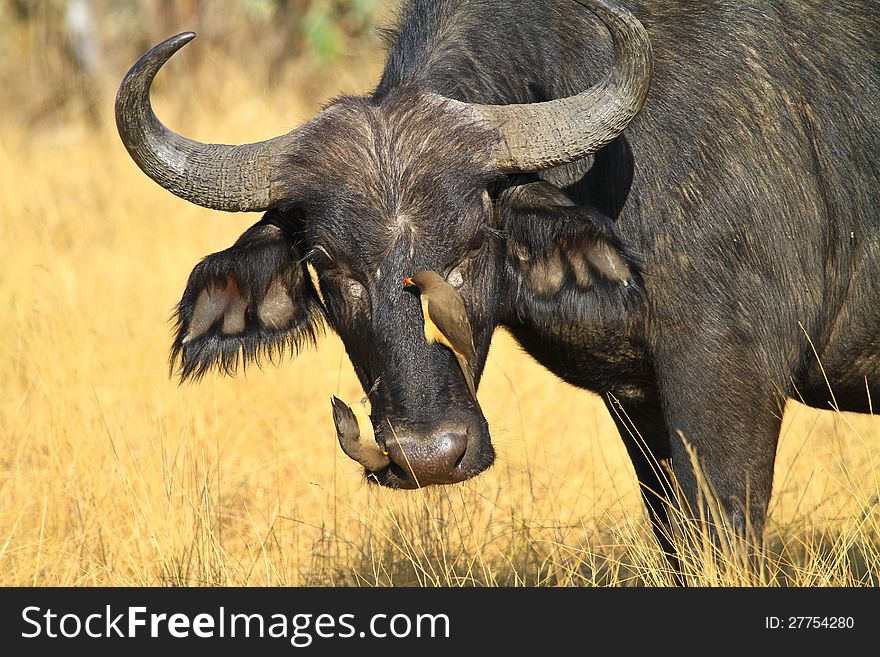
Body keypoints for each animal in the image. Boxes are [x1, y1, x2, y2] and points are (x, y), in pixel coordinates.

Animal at [115, 0, 880, 572]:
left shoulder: (730, 378)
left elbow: (722, 536)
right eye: (329, 264)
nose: (427, 457)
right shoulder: (640, 403)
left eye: (474, 241)